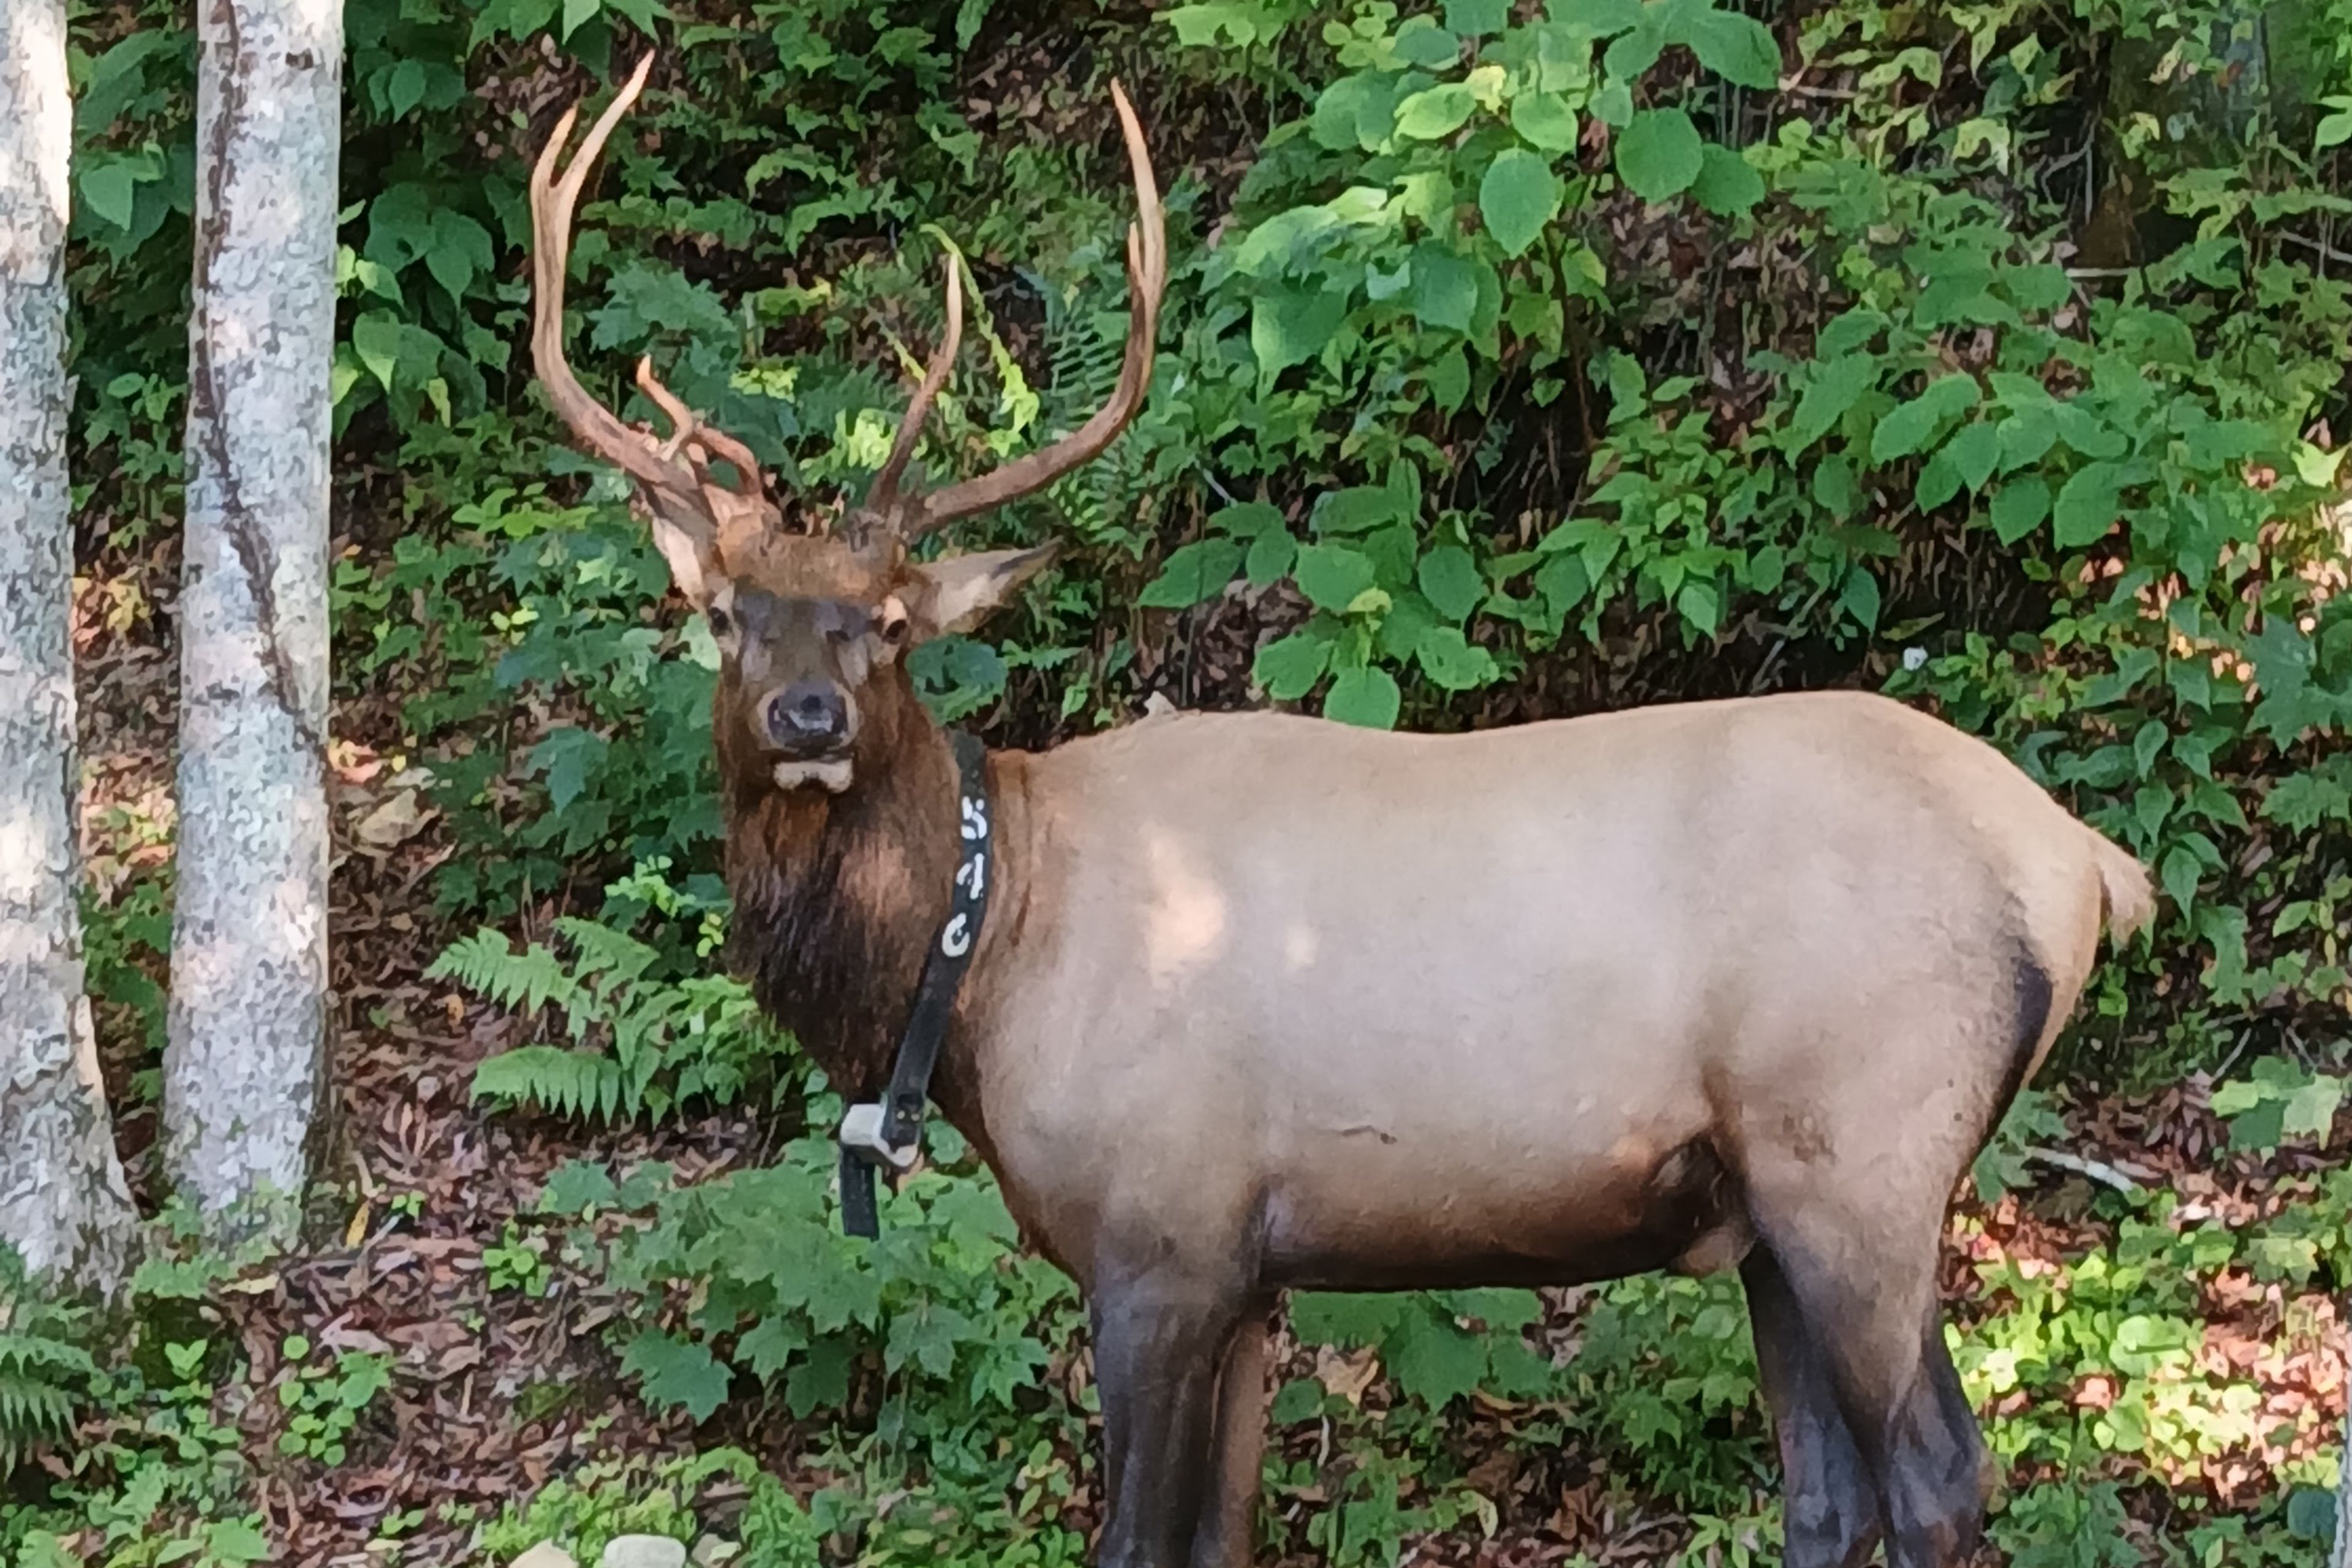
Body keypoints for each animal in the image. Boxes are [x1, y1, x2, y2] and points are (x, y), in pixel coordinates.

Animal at [528, 57, 2155, 1568]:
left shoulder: (1162, 1234)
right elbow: (1221, 1538)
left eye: (882, 626)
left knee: (1936, 1475)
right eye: (729, 616)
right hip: (1769, 1201)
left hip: (1862, 1146)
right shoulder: (1250, 1275)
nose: (808, 718)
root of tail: (2084, 865)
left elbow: (1138, 1539)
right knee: (1826, 1493)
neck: (981, 970)